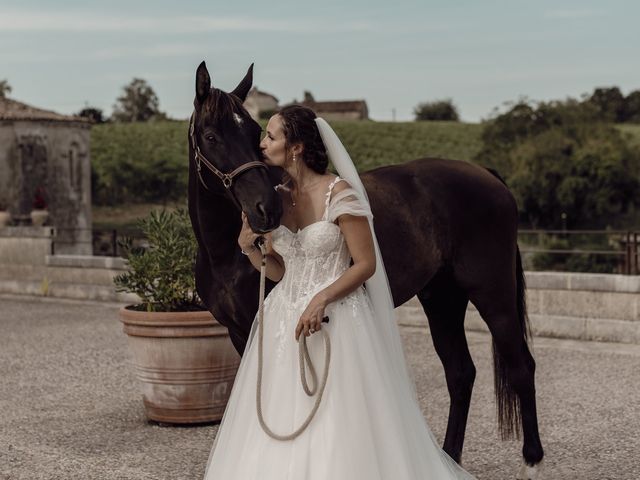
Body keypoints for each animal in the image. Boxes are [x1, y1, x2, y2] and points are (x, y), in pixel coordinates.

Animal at [188, 62, 544, 478]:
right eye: (212, 135)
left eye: (256, 133)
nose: (266, 210)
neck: (223, 254)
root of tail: (489, 176)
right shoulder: (238, 331)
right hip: (442, 299)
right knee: (461, 373)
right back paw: (449, 457)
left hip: (493, 293)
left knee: (521, 365)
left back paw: (532, 458)